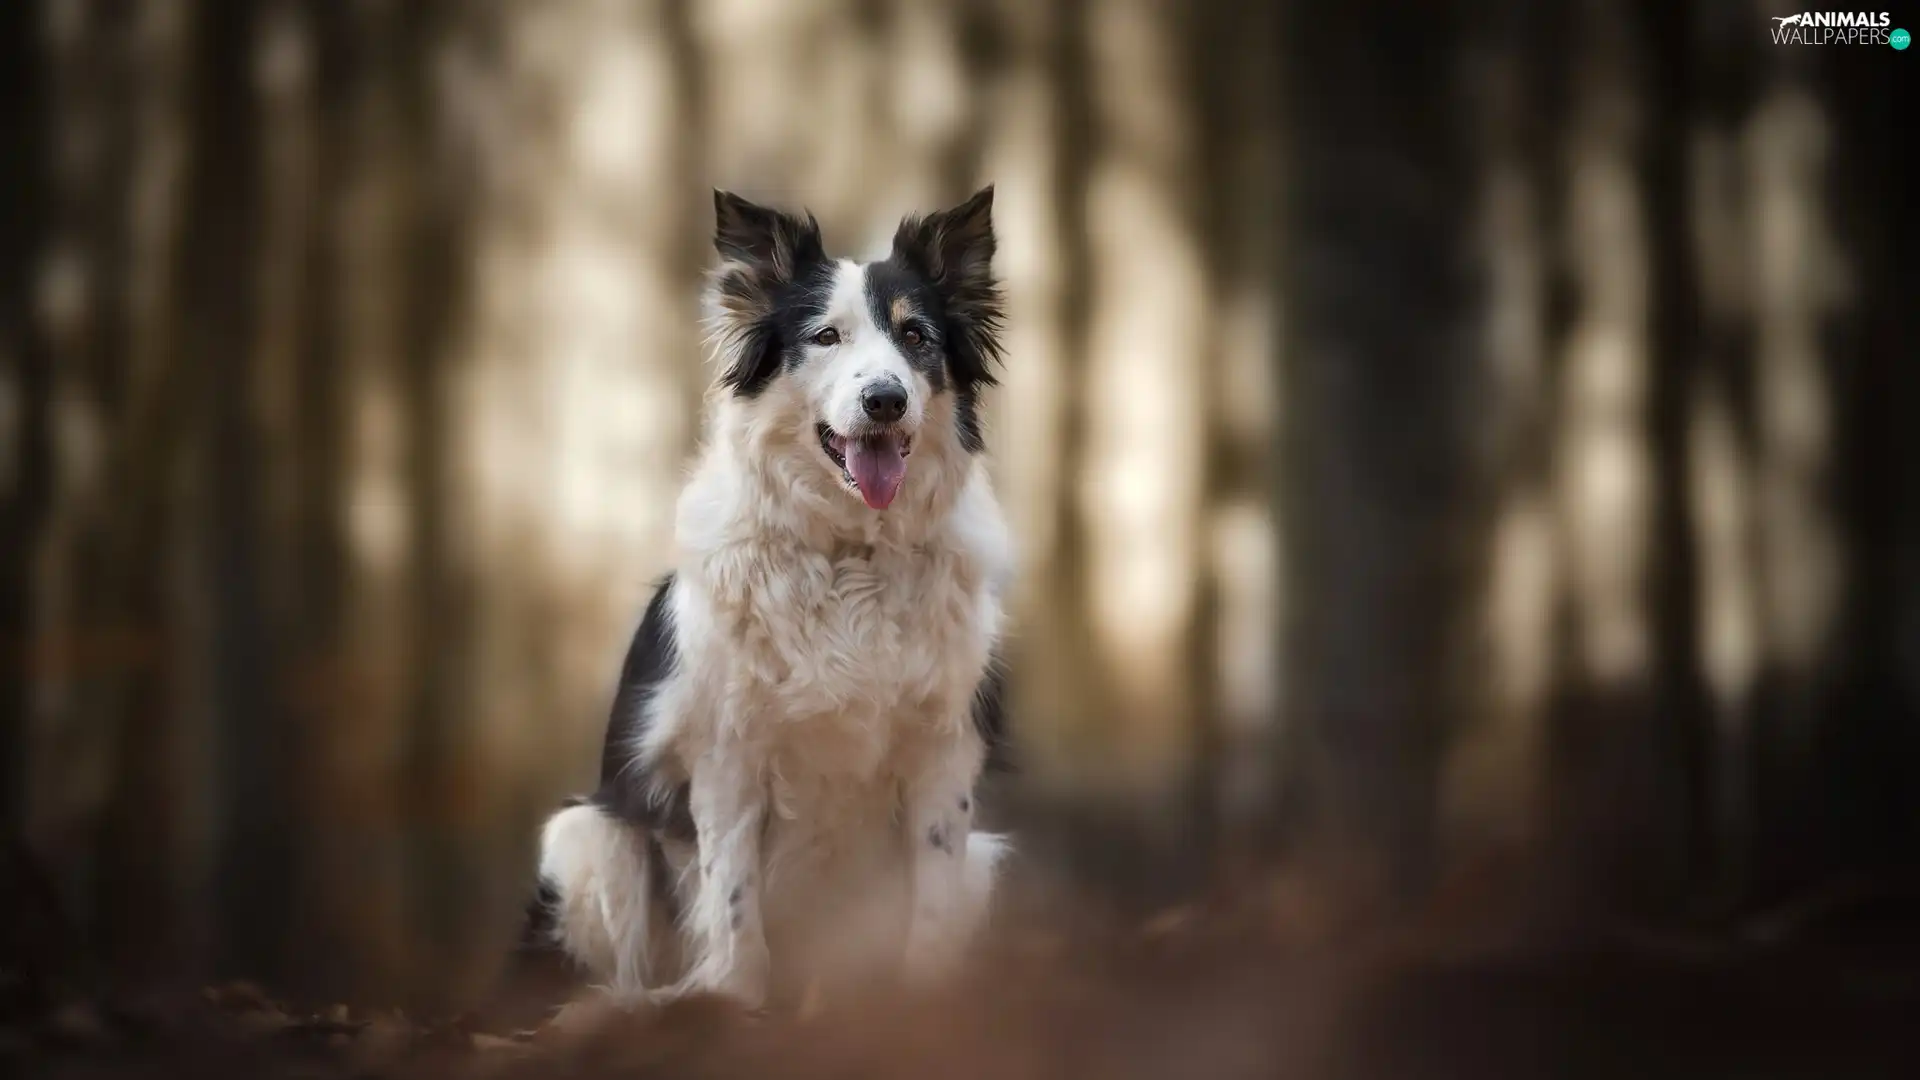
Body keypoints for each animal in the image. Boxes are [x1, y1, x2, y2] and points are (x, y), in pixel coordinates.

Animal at [533, 182, 1021, 1006]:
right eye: (825, 337)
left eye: (915, 336)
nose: (886, 400)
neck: (853, 549)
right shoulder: (727, 750)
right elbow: (732, 900)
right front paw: (734, 1002)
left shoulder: (943, 748)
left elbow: (931, 896)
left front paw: (924, 1001)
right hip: (589, 838)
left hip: (984, 862)